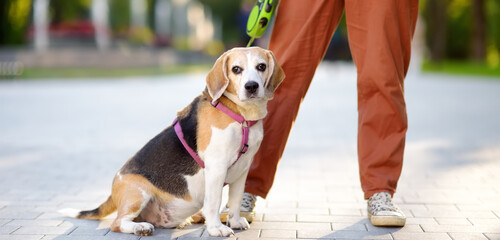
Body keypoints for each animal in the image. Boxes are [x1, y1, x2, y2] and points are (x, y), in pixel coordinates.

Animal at [59, 47, 286, 236]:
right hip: (138, 192)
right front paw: (216, 228)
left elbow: (236, 200)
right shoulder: (217, 166)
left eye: (261, 66)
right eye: (236, 69)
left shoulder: (243, 168)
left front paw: (235, 221)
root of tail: (115, 186)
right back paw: (140, 227)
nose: (251, 86)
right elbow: (214, 202)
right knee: (118, 222)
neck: (241, 116)